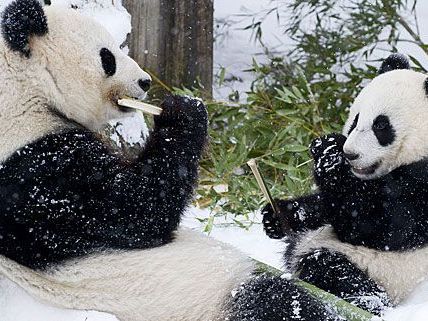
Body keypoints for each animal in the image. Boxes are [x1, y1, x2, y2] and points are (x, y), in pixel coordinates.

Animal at [260, 53, 428, 318]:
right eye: (355, 120)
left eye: (381, 126)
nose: (350, 154)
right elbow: (327, 206)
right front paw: (278, 216)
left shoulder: (423, 184)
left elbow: (378, 224)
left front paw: (331, 159)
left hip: (384, 272)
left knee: (332, 269)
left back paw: (364, 299)